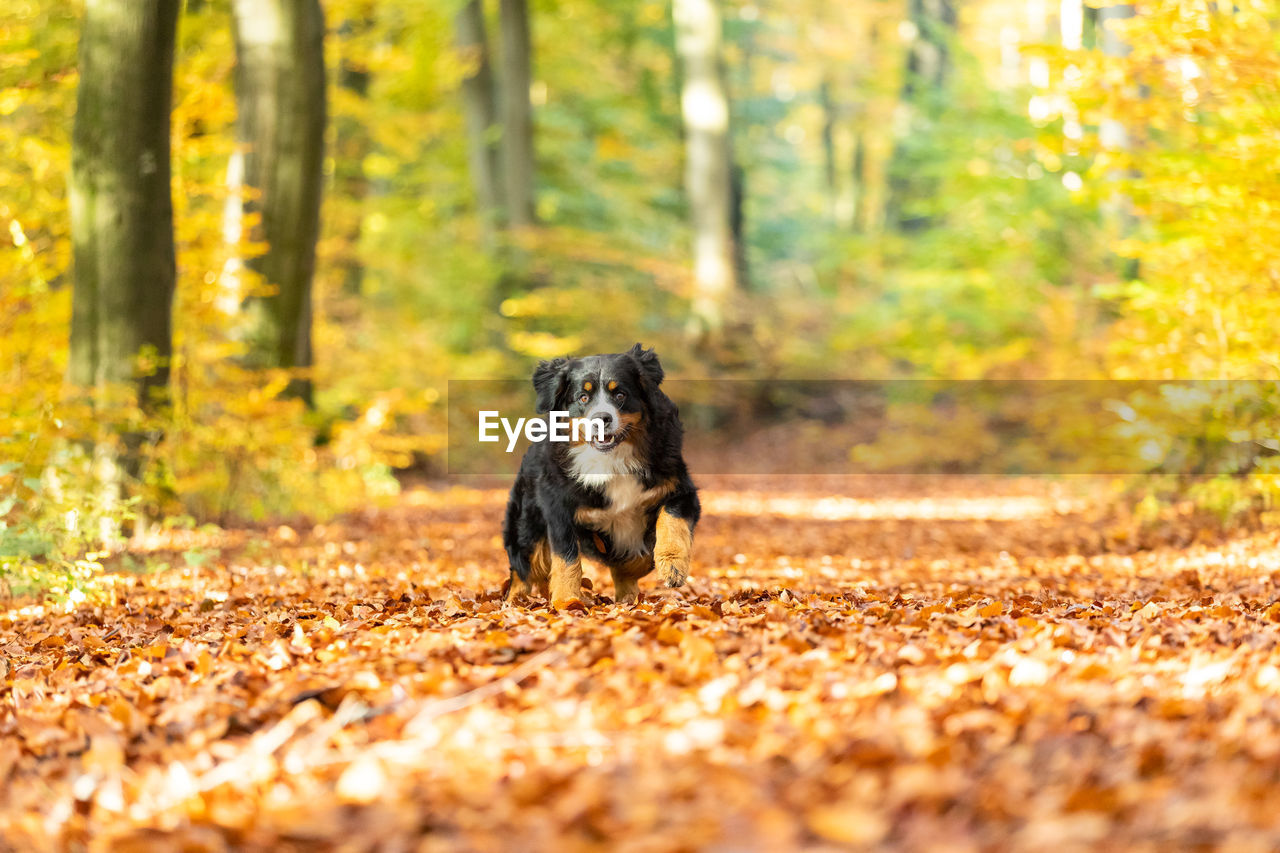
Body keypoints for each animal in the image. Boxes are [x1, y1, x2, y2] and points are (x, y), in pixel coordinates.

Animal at [499, 338, 701, 604]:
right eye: (583, 397)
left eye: (620, 394)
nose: (601, 418)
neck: (611, 460)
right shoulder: (558, 507)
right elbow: (566, 557)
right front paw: (567, 600)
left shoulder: (680, 489)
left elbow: (671, 521)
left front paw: (672, 566)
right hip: (526, 528)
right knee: (522, 574)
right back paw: (514, 604)